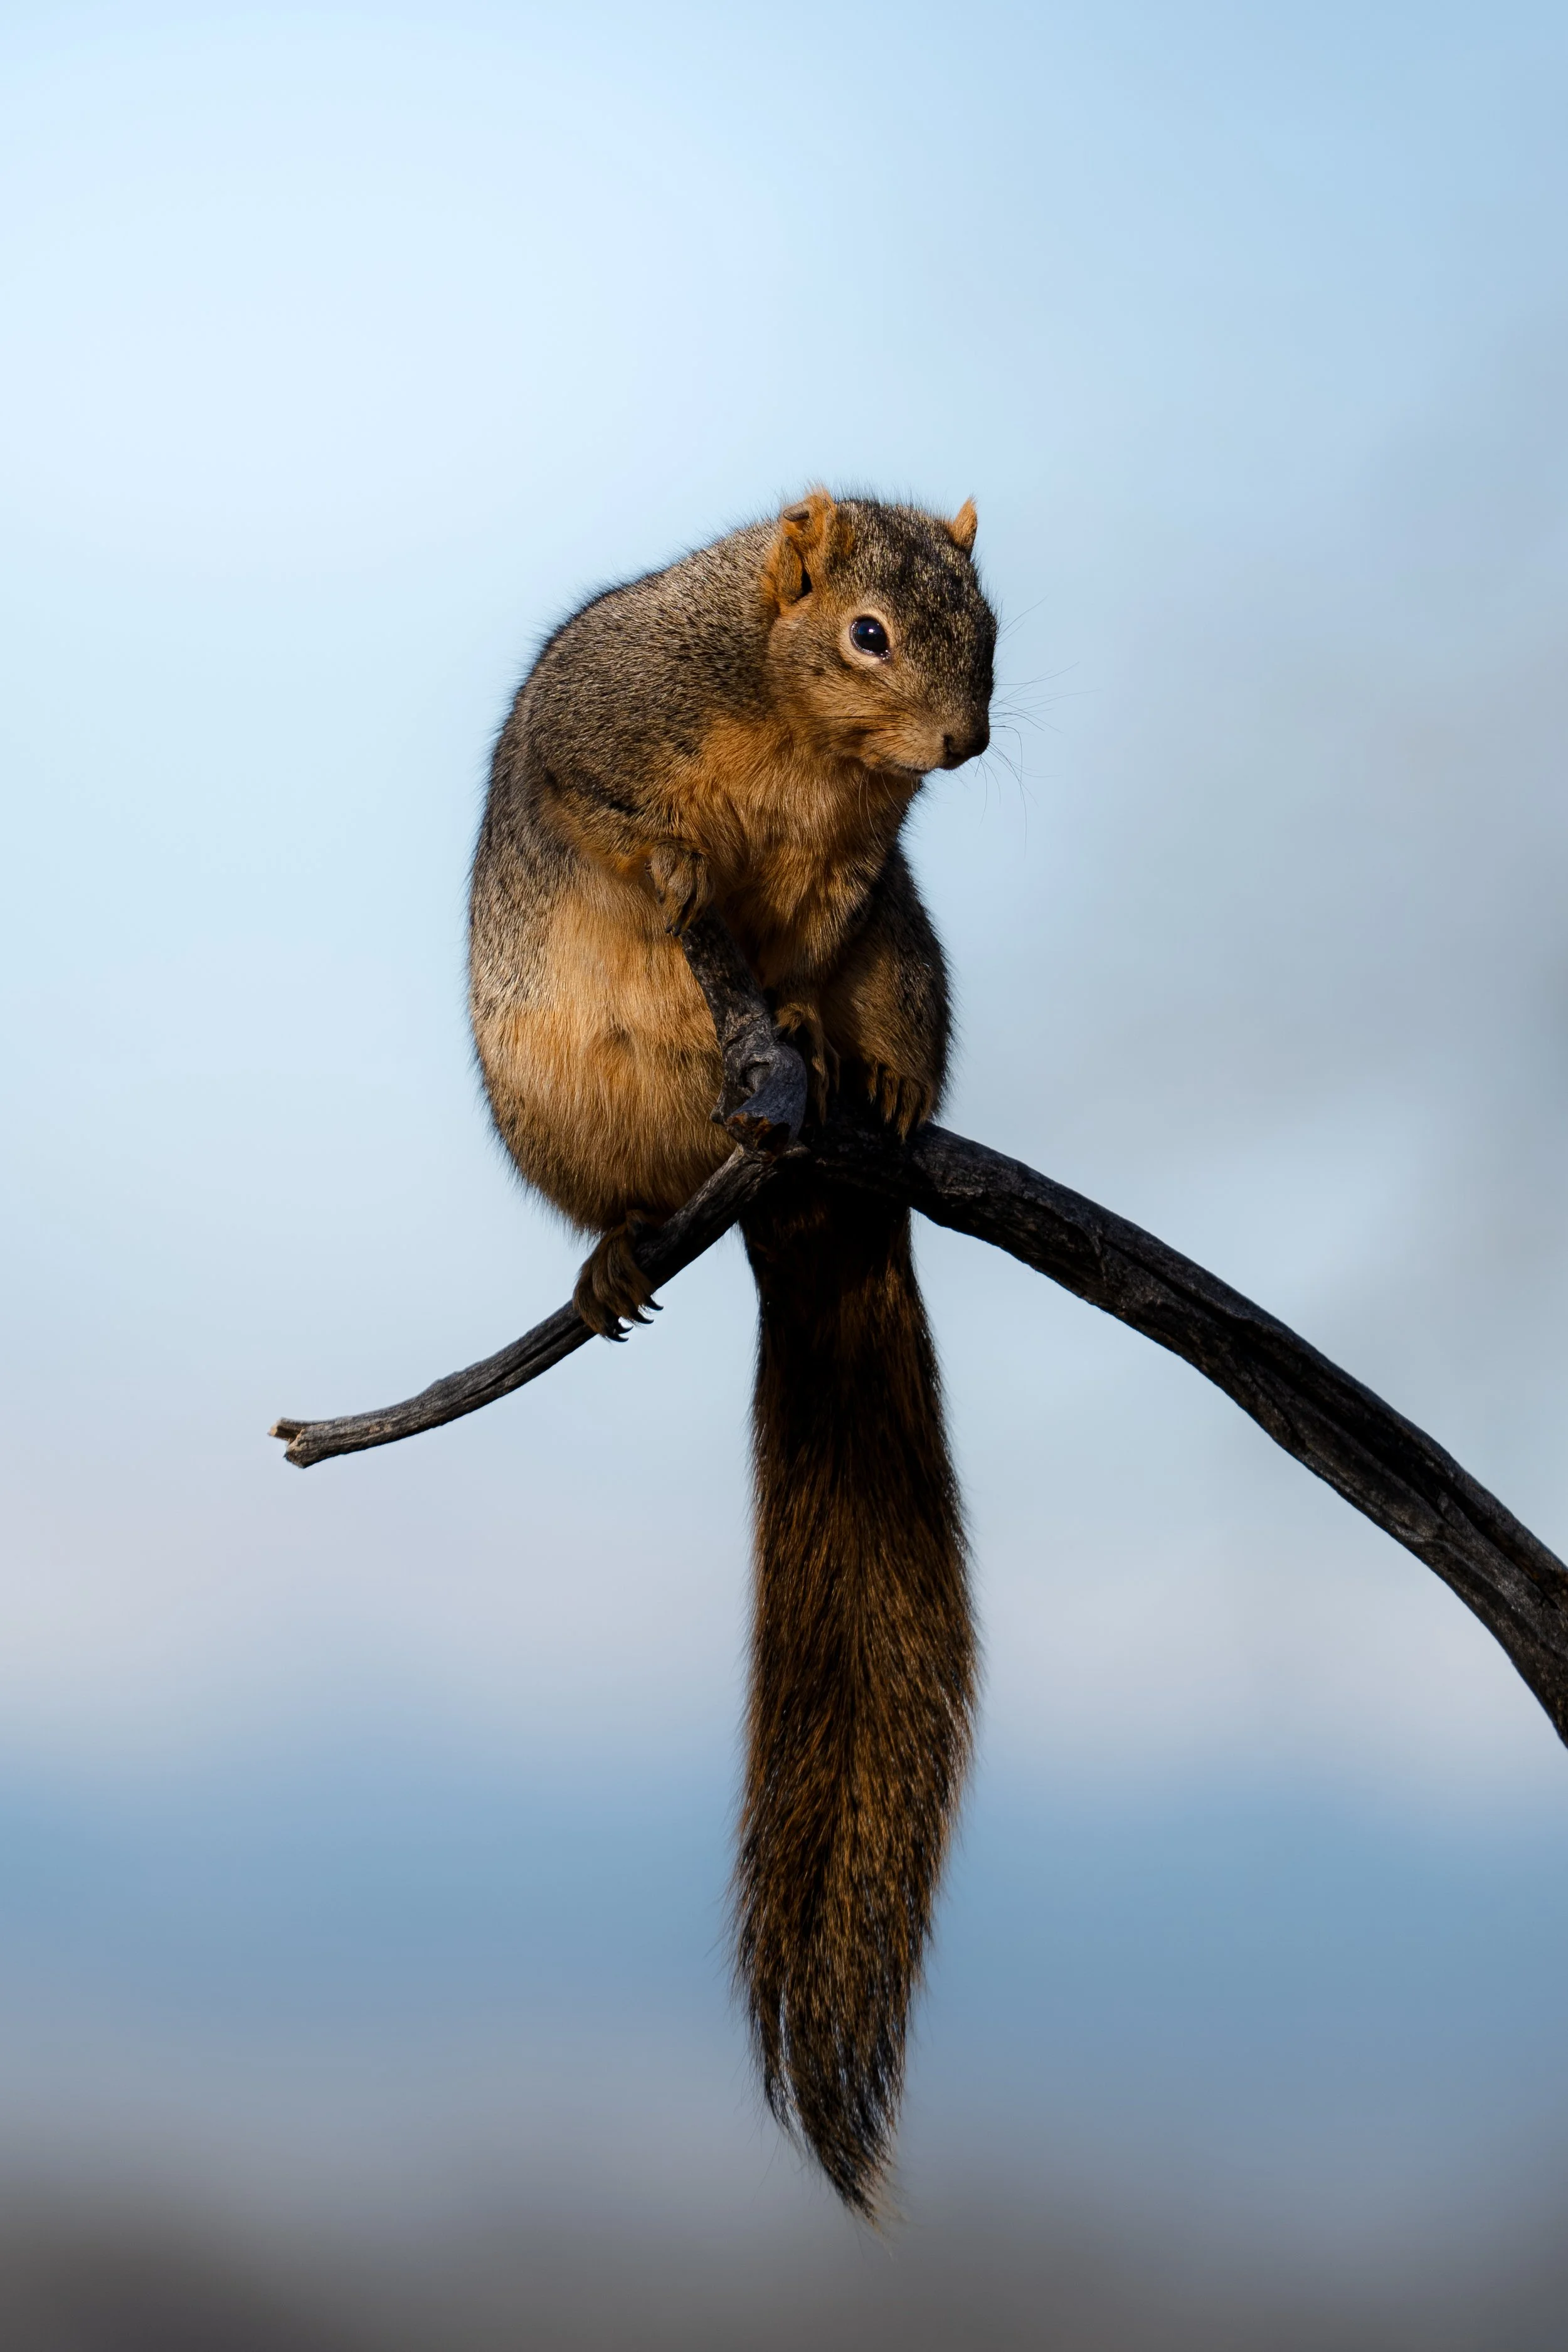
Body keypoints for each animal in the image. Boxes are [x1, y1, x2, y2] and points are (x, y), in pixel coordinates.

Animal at [469, 489, 996, 2216]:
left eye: (991, 626)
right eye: (868, 634)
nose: (965, 741)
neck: (793, 728)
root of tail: (806, 1209)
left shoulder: (858, 869)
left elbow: (813, 922)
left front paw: (811, 1015)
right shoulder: (602, 718)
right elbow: (601, 811)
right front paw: (678, 858)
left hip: (914, 965)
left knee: (869, 1012)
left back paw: (855, 1072)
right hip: (560, 1102)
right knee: (629, 1199)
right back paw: (621, 1253)